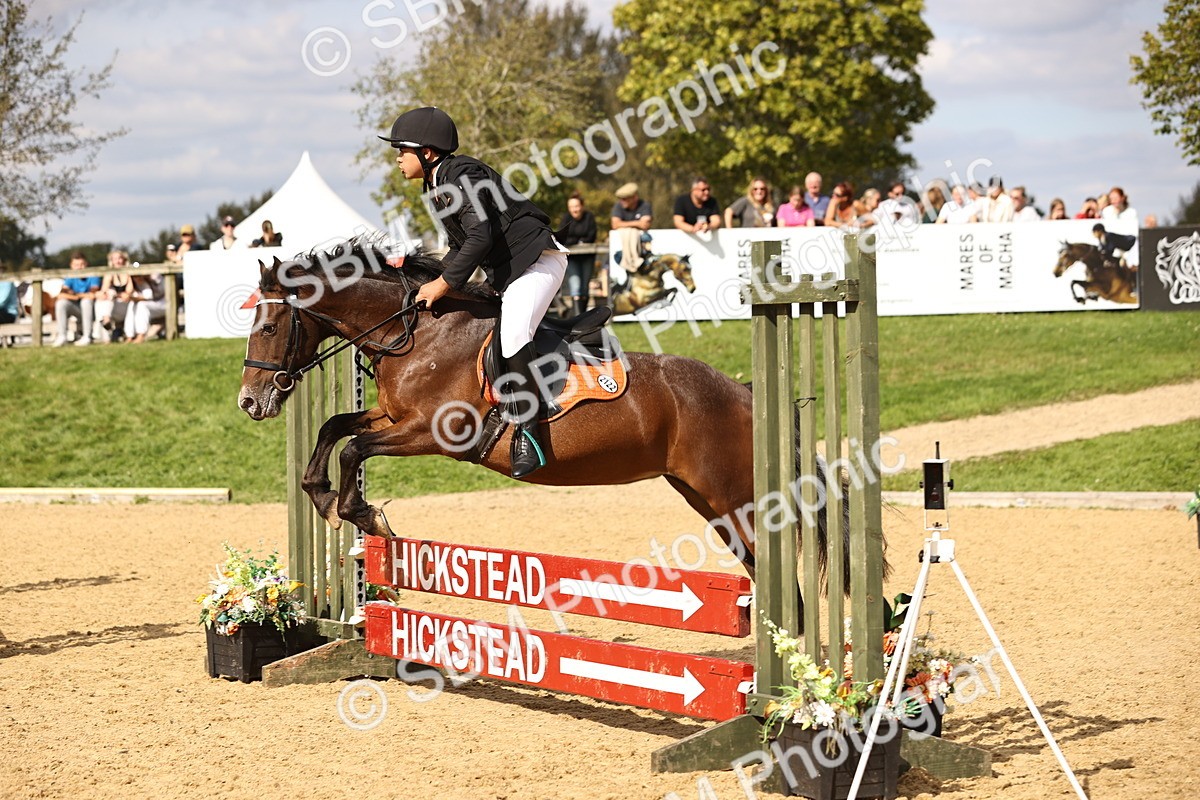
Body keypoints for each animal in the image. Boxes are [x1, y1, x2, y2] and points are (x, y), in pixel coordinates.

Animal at [238, 237, 862, 605]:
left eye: (267, 327)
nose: (249, 402)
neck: (416, 333)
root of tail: (747, 394)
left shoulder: (432, 431)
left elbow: (353, 449)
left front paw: (363, 514)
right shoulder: (393, 414)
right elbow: (334, 428)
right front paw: (323, 496)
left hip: (739, 500)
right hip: (709, 501)